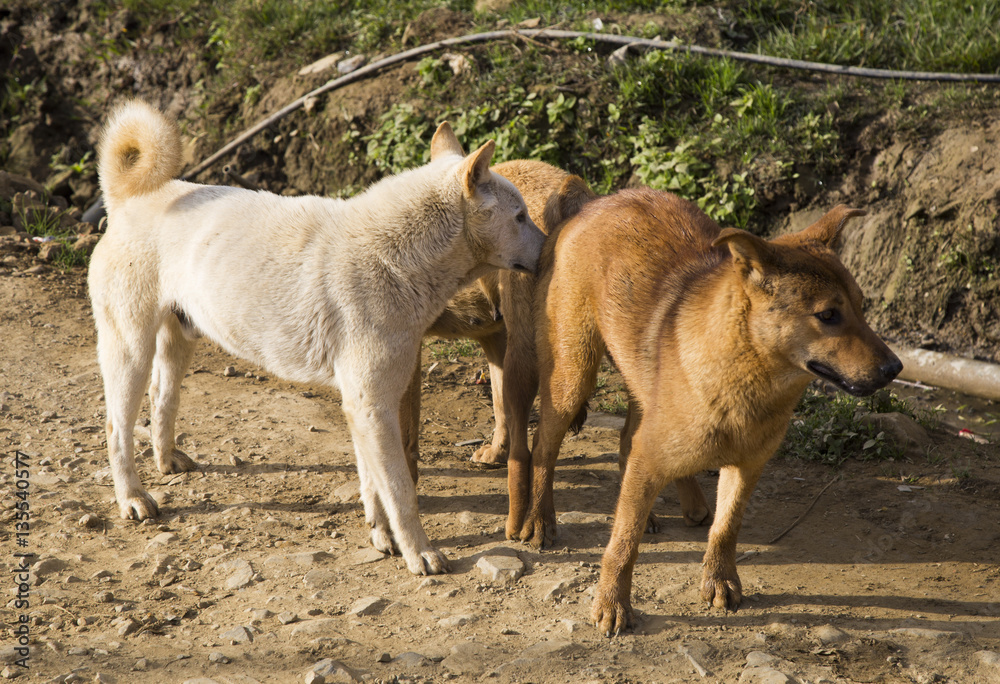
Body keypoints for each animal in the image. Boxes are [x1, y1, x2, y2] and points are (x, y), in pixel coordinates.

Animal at [92, 99, 548, 576]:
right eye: (520, 217)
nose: (552, 244)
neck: (394, 255)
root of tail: (127, 199)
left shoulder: (364, 406)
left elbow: (374, 484)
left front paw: (381, 536)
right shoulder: (373, 405)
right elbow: (400, 492)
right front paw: (418, 551)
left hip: (179, 340)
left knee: (162, 399)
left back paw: (167, 461)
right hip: (130, 350)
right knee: (117, 428)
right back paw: (132, 498)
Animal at [520, 188, 904, 636]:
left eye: (862, 306)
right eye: (828, 315)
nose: (895, 368)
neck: (747, 380)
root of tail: (598, 201)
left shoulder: (748, 466)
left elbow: (726, 527)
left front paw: (720, 581)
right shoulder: (651, 457)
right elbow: (623, 542)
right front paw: (612, 604)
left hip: (637, 380)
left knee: (628, 438)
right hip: (572, 375)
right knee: (544, 447)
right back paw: (539, 520)